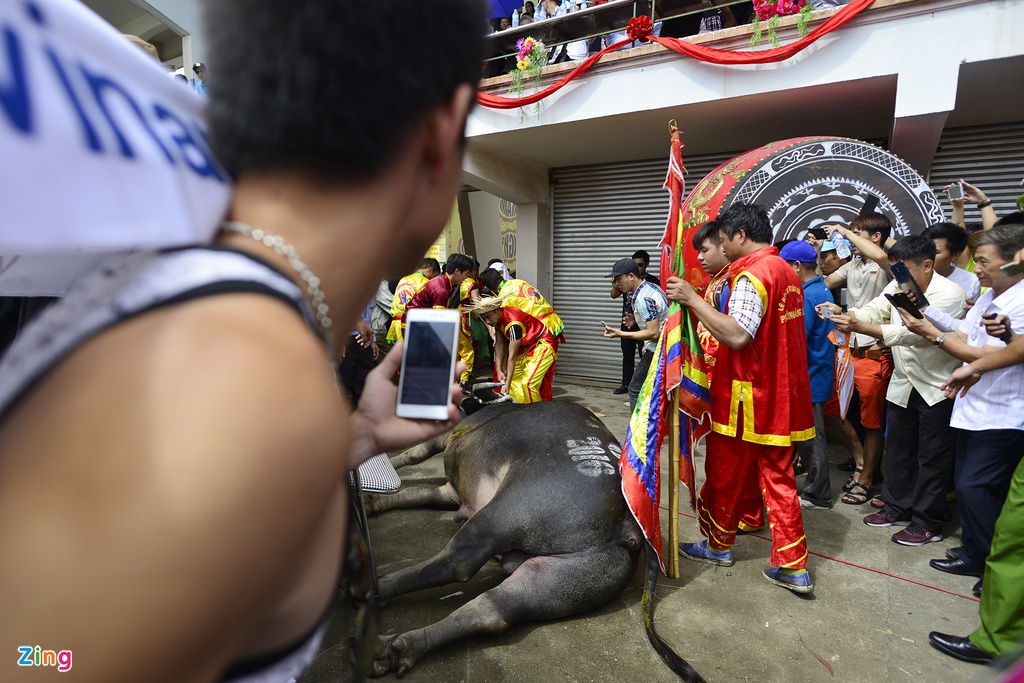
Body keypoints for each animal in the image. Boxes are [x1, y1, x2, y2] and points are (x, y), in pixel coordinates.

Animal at [362, 397, 704, 679]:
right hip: (565, 578)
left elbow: (414, 453)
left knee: (459, 559)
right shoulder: (451, 492)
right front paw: (373, 501)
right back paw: (393, 650)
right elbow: (423, 492)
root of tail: (630, 522)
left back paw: (370, 592)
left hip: (508, 511)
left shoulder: (450, 439)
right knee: (493, 610)